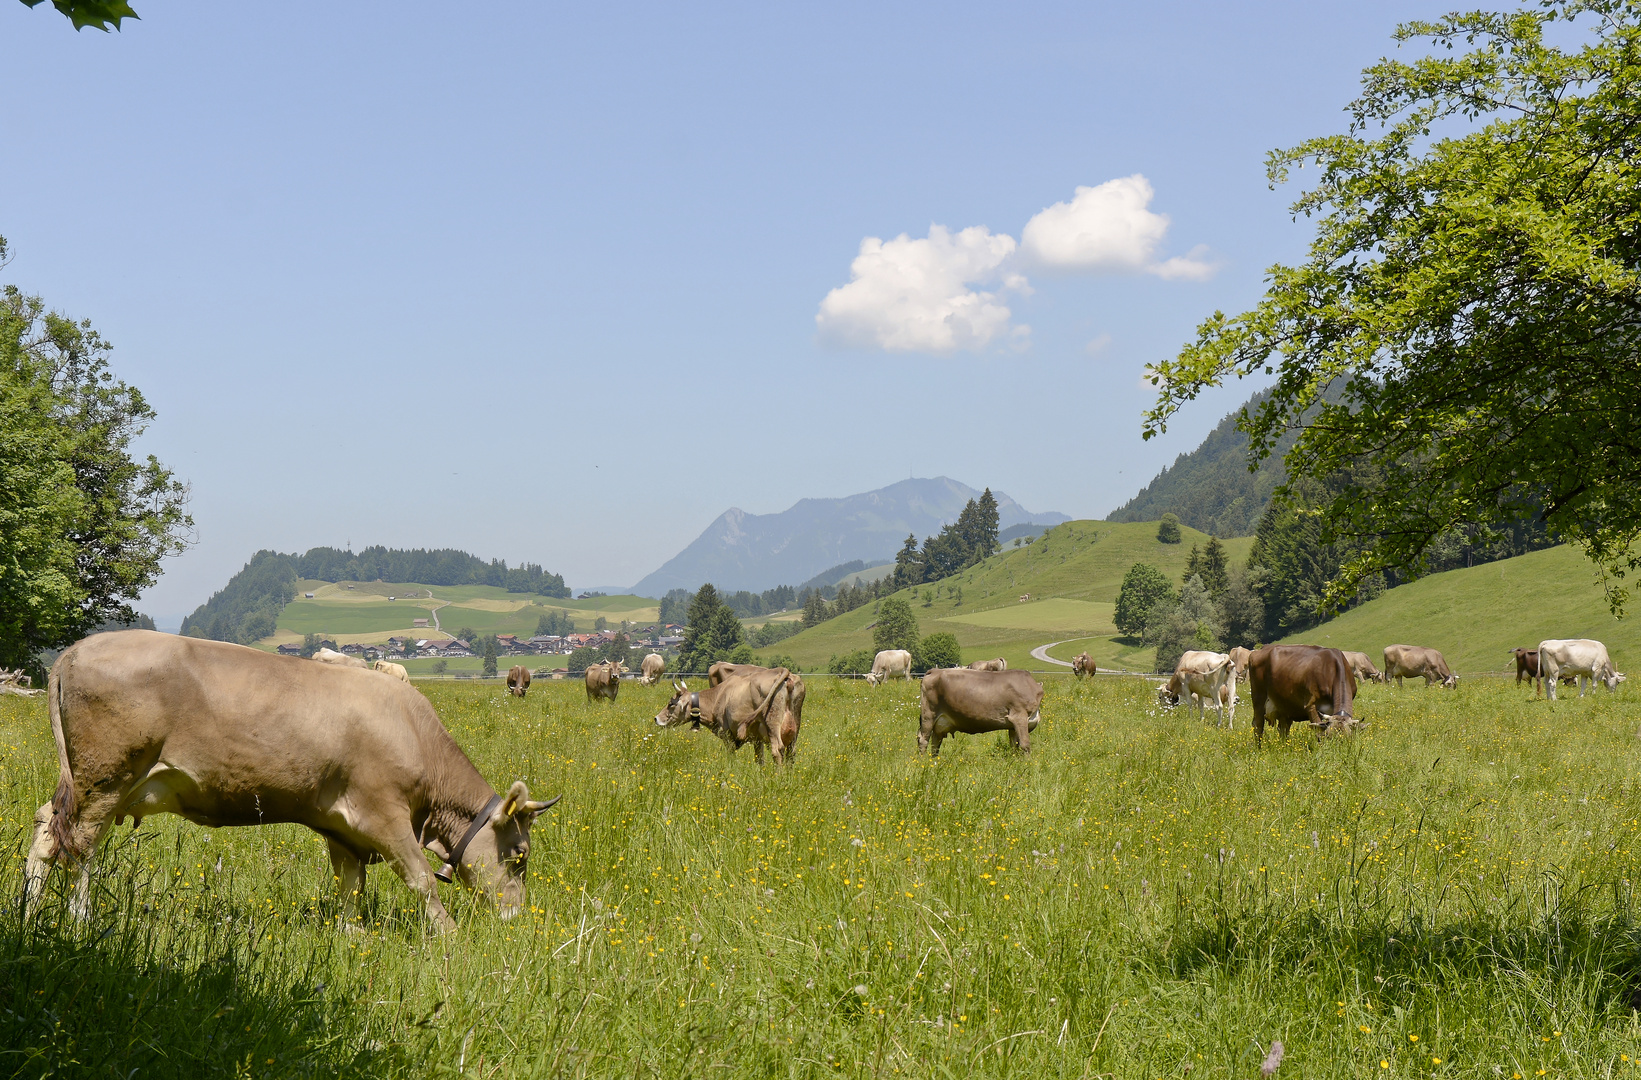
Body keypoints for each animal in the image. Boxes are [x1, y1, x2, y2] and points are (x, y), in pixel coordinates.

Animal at [22, 626, 561, 932]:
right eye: (520, 855)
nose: (515, 918)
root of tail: (74, 650)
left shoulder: (343, 827)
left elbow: (351, 885)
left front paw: (350, 936)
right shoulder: (385, 816)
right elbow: (422, 878)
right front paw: (448, 937)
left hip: (97, 785)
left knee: (50, 831)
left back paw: (29, 915)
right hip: (105, 777)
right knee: (78, 847)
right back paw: (79, 922)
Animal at [656, 669, 804, 761]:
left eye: (671, 703)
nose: (656, 718)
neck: (718, 696)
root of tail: (781, 670)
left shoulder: (727, 733)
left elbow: (731, 755)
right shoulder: (757, 738)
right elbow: (759, 759)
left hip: (772, 724)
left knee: (777, 750)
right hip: (795, 726)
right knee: (791, 752)